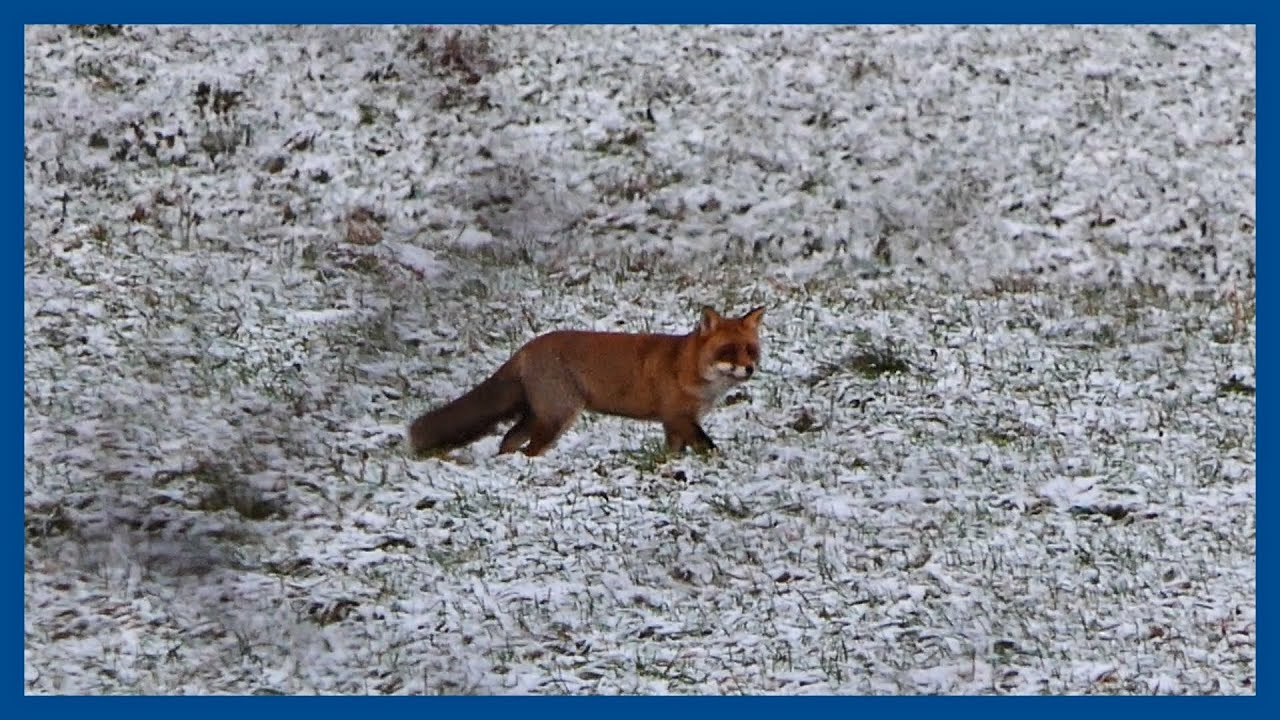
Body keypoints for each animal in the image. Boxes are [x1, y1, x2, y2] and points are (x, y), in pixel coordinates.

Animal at [409, 305, 765, 457]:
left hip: (539, 415)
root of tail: (526, 347)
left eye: (750, 350)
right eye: (728, 351)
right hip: (559, 415)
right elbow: (708, 446)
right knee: (529, 449)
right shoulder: (679, 418)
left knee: (508, 439)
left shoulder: (675, 425)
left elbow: (675, 453)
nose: (749, 369)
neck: (687, 365)